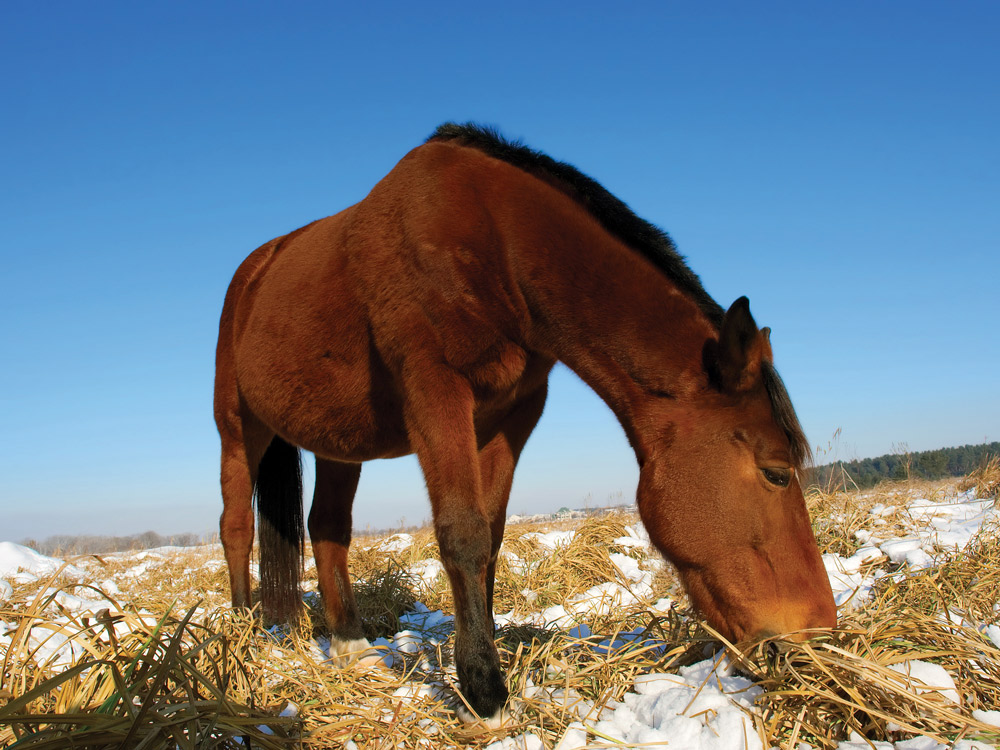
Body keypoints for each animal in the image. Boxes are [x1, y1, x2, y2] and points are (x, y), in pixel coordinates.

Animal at [215, 120, 840, 724]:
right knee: (236, 527)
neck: (494, 243)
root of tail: (256, 270)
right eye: (777, 472)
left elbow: (490, 539)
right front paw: (483, 693)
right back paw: (245, 639)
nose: (817, 629)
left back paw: (350, 645)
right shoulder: (434, 388)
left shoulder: (512, 414)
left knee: (327, 527)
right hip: (238, 427)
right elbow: (462, 531)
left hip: (338, 444)